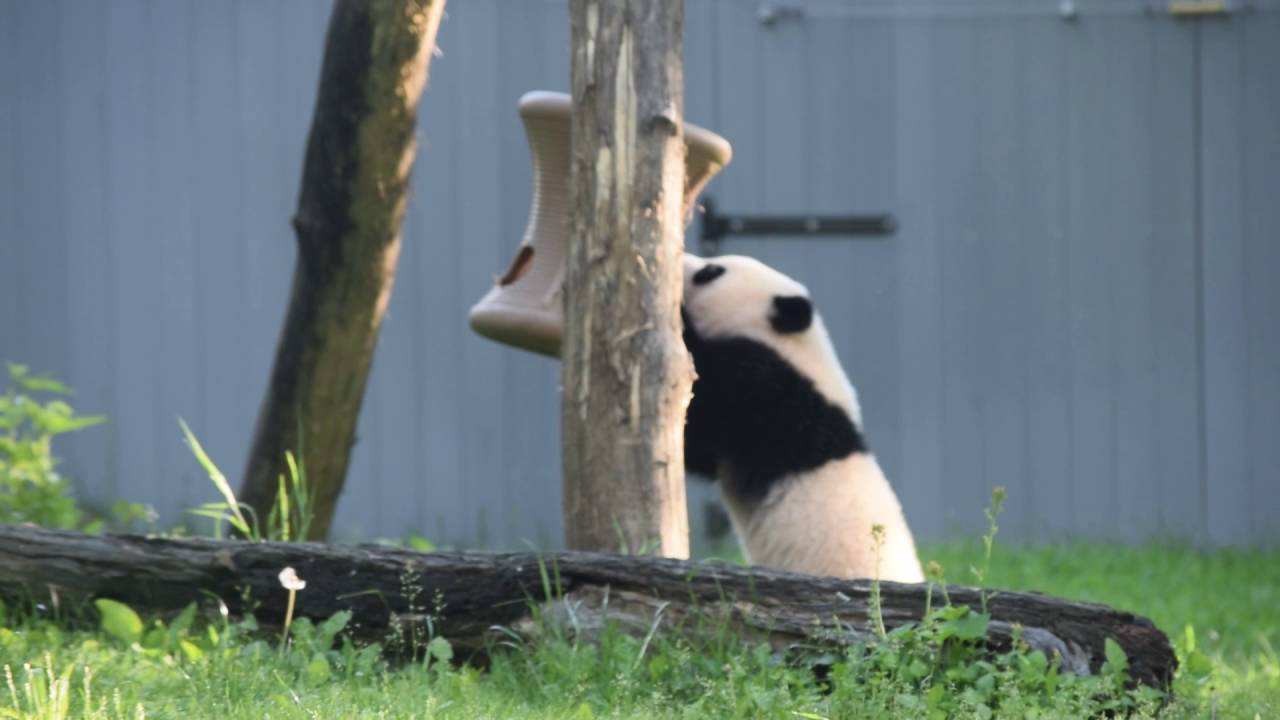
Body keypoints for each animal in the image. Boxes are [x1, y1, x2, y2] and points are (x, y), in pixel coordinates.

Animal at [680, 252, 921, 584]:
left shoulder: (774, 397)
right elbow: (699, 454)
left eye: (712, 271)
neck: (797, 348)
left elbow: (707, 415)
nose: (681, 261)